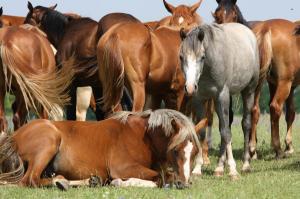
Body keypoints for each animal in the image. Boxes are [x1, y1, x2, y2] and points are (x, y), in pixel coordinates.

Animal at [0, 109, 203, 190]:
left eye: (194, 154)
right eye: (175, 150)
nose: (185, 184)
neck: (142, 136)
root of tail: (14, 136)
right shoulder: (123, 168)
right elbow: (162, 177)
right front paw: (121, 182)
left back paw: (88, 181)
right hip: (49, 141)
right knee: (30, 180)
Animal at [178, 22, 260, 178]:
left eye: (202, 57)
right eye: (181, 57)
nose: (190, 87)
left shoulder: (222, 96)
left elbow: (226, 132)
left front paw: (233, 170)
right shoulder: (200, 99)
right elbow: (203, 132)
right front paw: (197, 168)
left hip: (248, 91)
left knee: (245, 124)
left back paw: (245, 164)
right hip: (217, 102)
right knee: (224, 125)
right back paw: (219, 168)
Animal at [213, 0, 300, 159]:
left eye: (233, 14)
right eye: (217, 15)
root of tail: (267, 28)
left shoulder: (274, 84)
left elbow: (289, 112)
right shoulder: (288, 84)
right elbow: (290, 113)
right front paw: (288, 146)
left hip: (260, 82)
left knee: (254, 110)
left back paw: (253, 150)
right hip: (284, 83)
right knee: (275, 107)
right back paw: (277, 150)